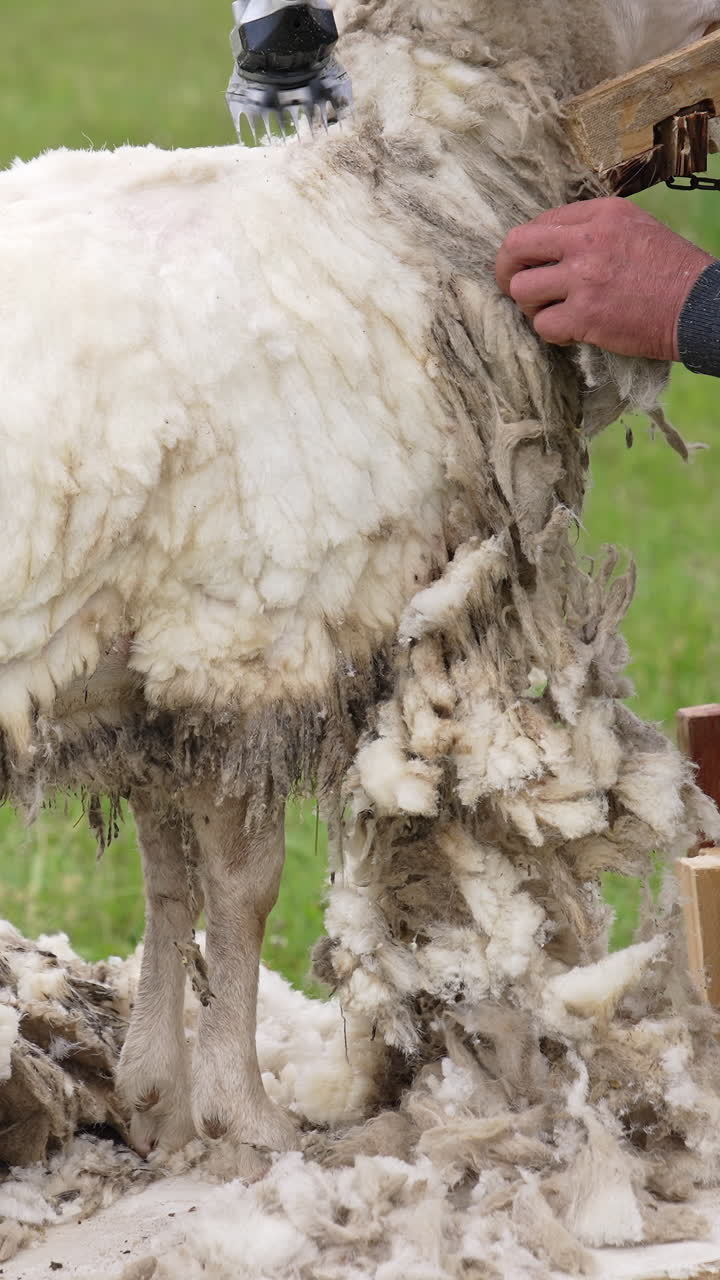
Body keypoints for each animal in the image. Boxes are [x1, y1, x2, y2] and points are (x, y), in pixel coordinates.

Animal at [1, 0, 718, 1164]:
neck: (391, 202)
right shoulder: (247, 633)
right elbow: (243, 887)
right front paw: (244, 1113)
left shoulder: (153, 671)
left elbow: (169, 874)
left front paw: (158, 1097)